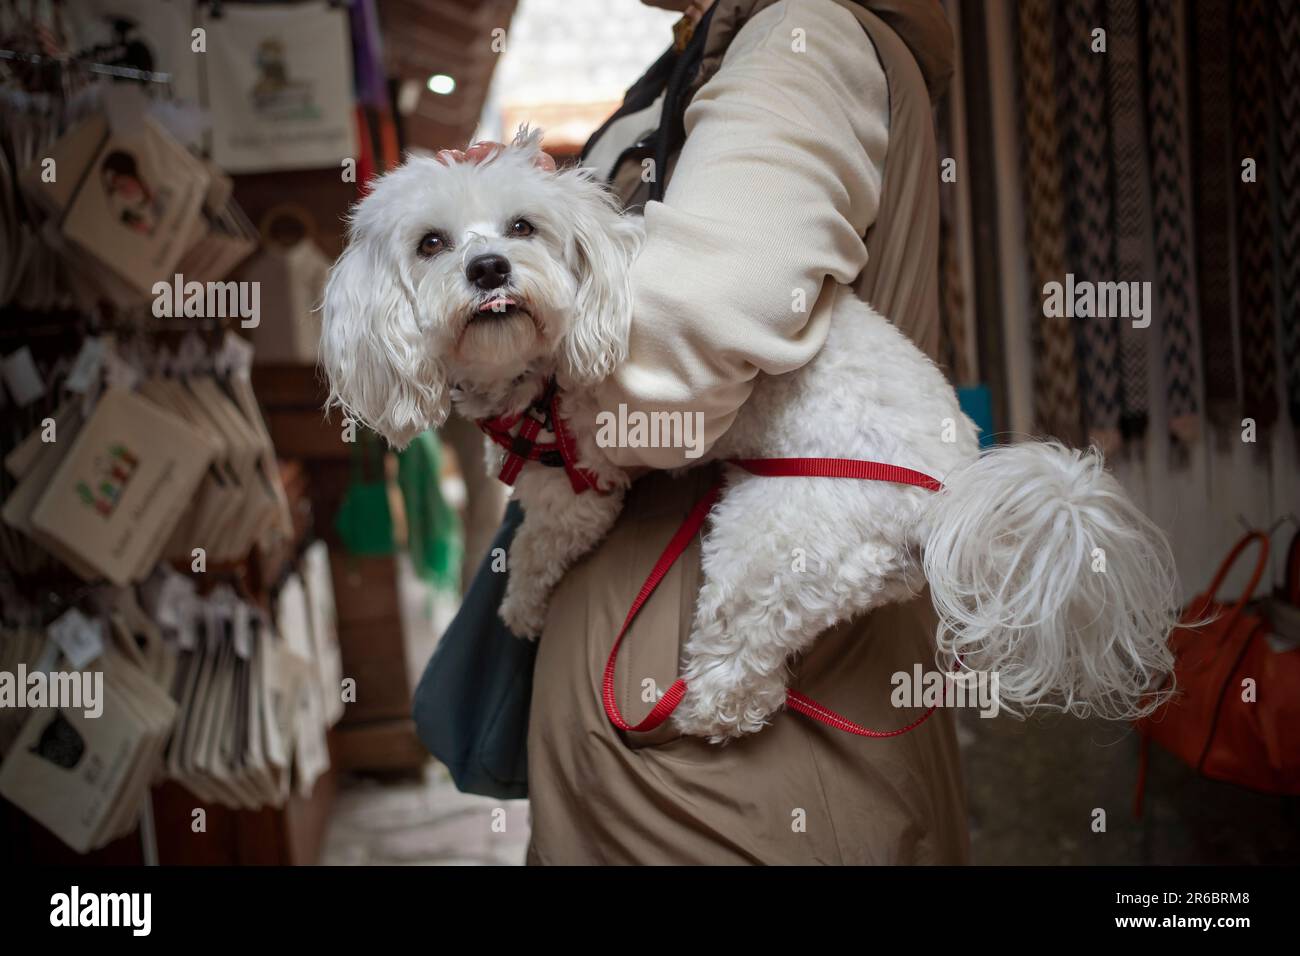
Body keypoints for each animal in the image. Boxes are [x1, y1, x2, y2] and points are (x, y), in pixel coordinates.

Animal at [319, 128, 1185, 738]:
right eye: (431, 243)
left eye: (522, 226)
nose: (490, 268)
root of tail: (947, 495)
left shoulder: (580, 488)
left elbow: (537, 543)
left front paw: (521, 607)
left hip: (771, 543)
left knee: (742, 661)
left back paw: (703, 712)